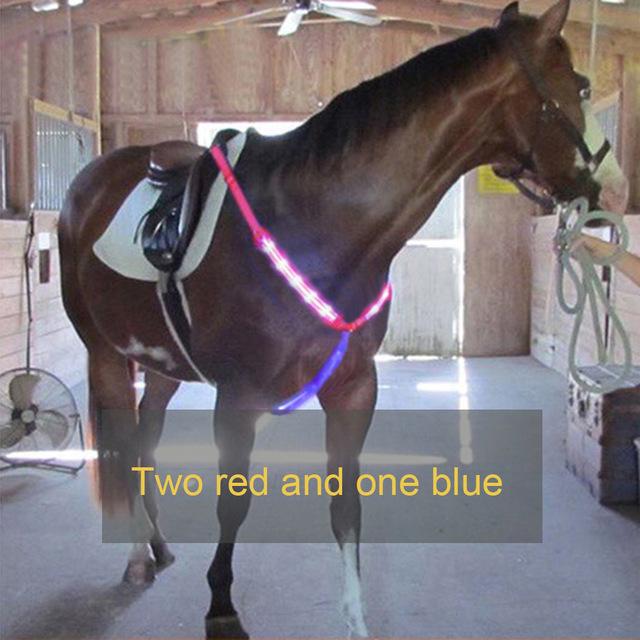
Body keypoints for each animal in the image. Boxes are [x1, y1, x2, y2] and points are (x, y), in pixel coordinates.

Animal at [58, 1, 628, 637]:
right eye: (579, 85)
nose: (617, 190)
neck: (316, 223)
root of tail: (90, 185)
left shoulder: (354, 387)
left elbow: (346, 506)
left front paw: (355, 619)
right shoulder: (238, 396)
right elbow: (234, 502)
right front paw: (222, 609)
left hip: (161, 366)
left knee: (145, 441)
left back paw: (157, 545)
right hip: (107, 355)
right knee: (122, 444)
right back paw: (137, 556)